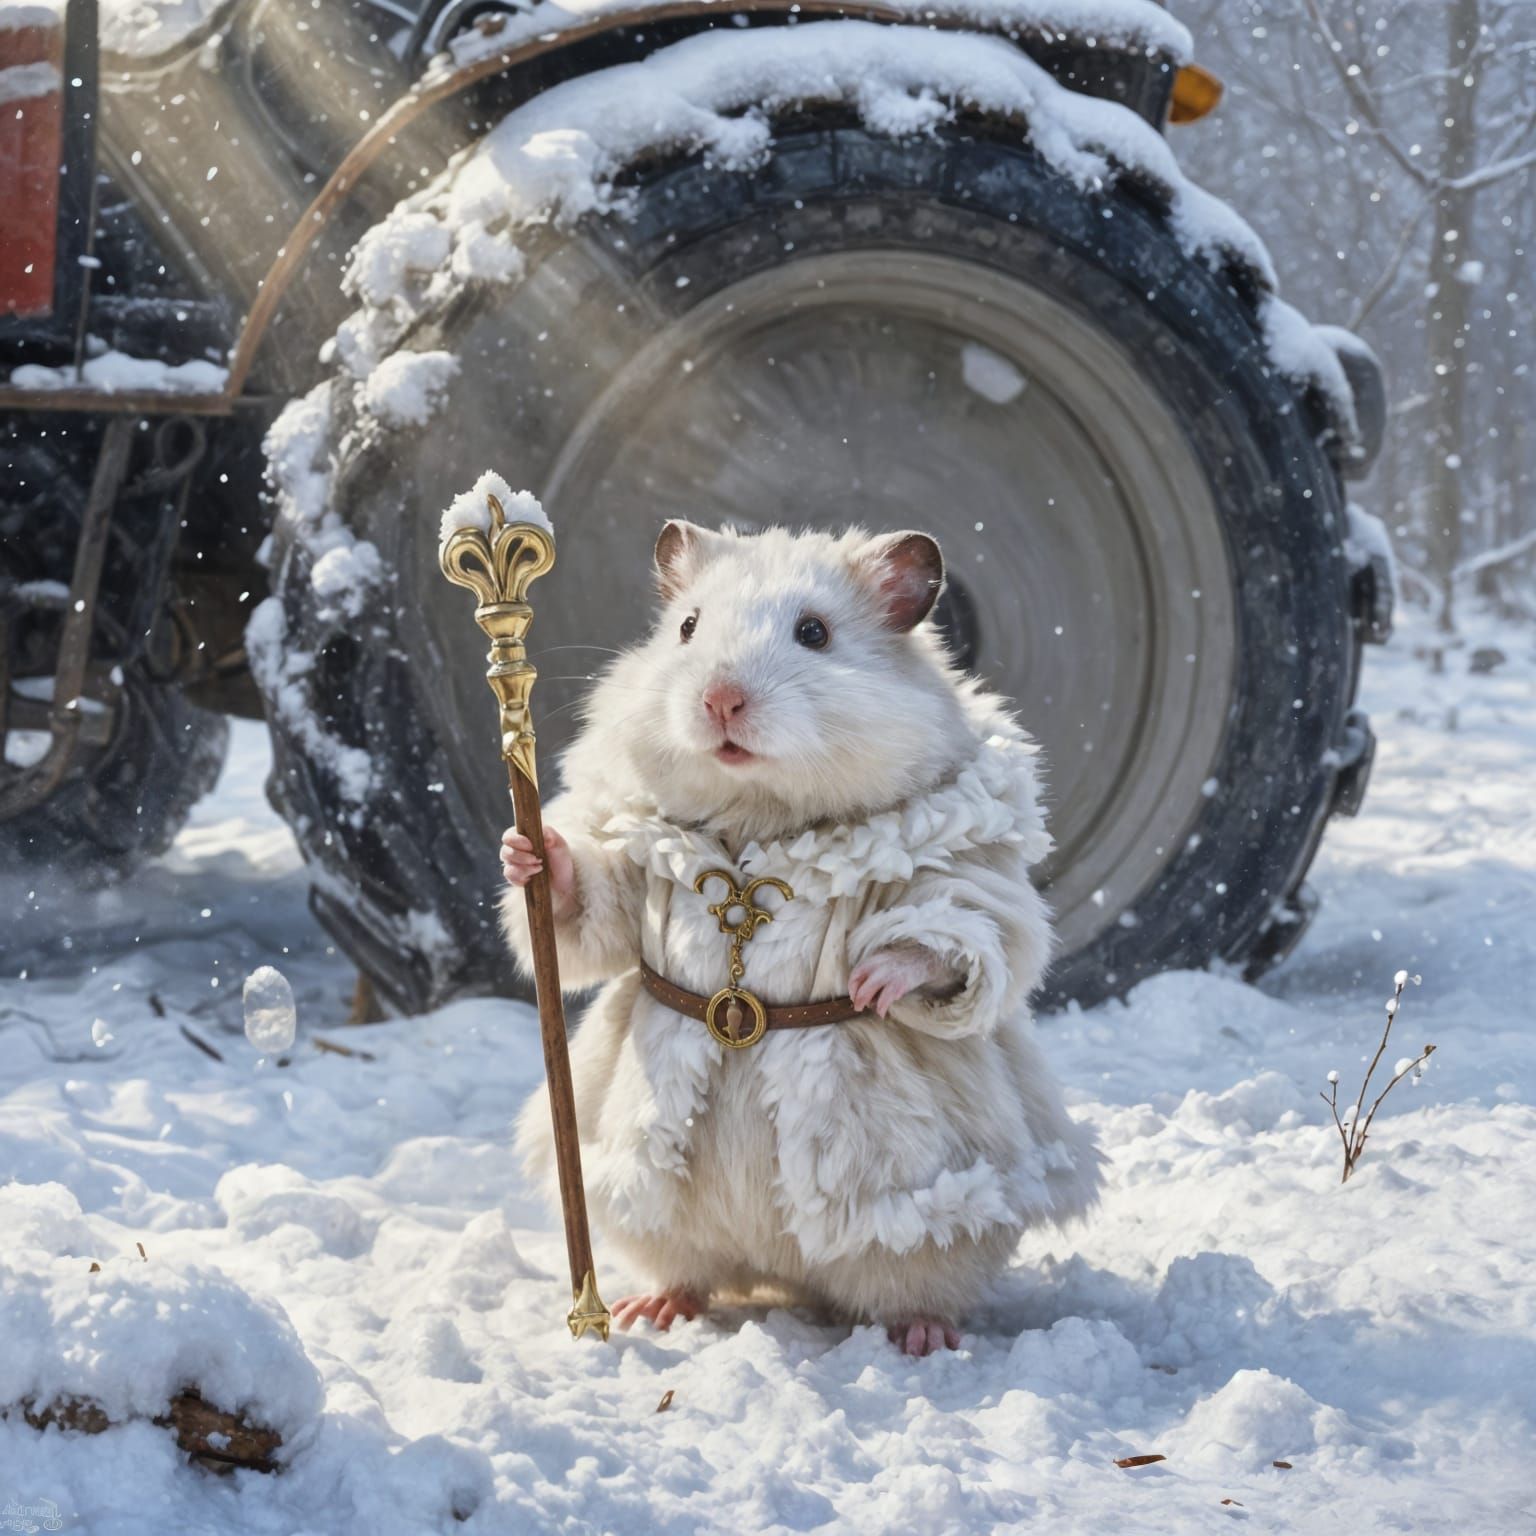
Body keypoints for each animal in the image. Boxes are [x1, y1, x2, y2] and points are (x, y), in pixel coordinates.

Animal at [501, 521, 1101, 1355]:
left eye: (814, 633)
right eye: (687, 627)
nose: (720, 698)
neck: (759, 809)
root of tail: (782, 1280)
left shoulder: (964, 870)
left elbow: (962, 924)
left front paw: (873, 982)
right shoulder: (632, 872)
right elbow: (594, 902)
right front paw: (528, 853)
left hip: (922, 1219)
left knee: (916, 1275)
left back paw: (921, 1338)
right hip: (640, 1200)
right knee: (686, 1265)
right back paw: (647, 1310)